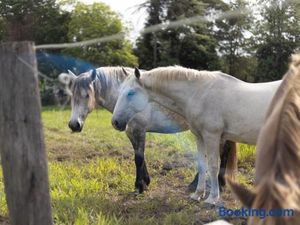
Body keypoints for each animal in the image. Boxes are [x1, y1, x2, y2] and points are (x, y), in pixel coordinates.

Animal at [58, 67, 237, 194]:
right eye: (71, 96)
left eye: (87, 95)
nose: (74, 125)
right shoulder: (132, 132)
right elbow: (139, 157)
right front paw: (146, 182)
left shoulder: (139, 130)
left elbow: (138, 158)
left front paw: (139, 187)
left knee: (223, 152)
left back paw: (212, 184)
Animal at [110, 66, 282, 205]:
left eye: (131, 93)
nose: (115, 122)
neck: (199, 93)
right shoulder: (199, 136)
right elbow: (202, 164)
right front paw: (197, 194)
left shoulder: (212, 136)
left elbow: (213, 166)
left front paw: (212, 198)